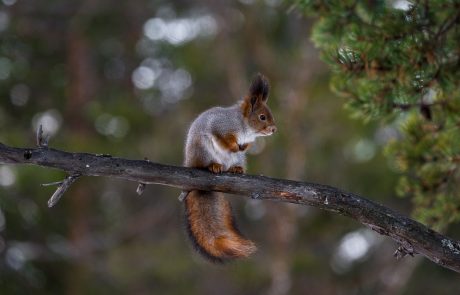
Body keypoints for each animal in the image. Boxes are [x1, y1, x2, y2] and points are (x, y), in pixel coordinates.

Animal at [183, 74, 276, 264]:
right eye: (262, 117)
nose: (274, 129)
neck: (245, 127)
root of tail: (190, 161)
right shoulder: (221, 126)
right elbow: (224, 138)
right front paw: (233, 145)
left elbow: (246, 145)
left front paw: (244, 146)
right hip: (202, 150)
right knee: (205, 163)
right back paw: (214, 165)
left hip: (237, 159)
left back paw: (236, 169)